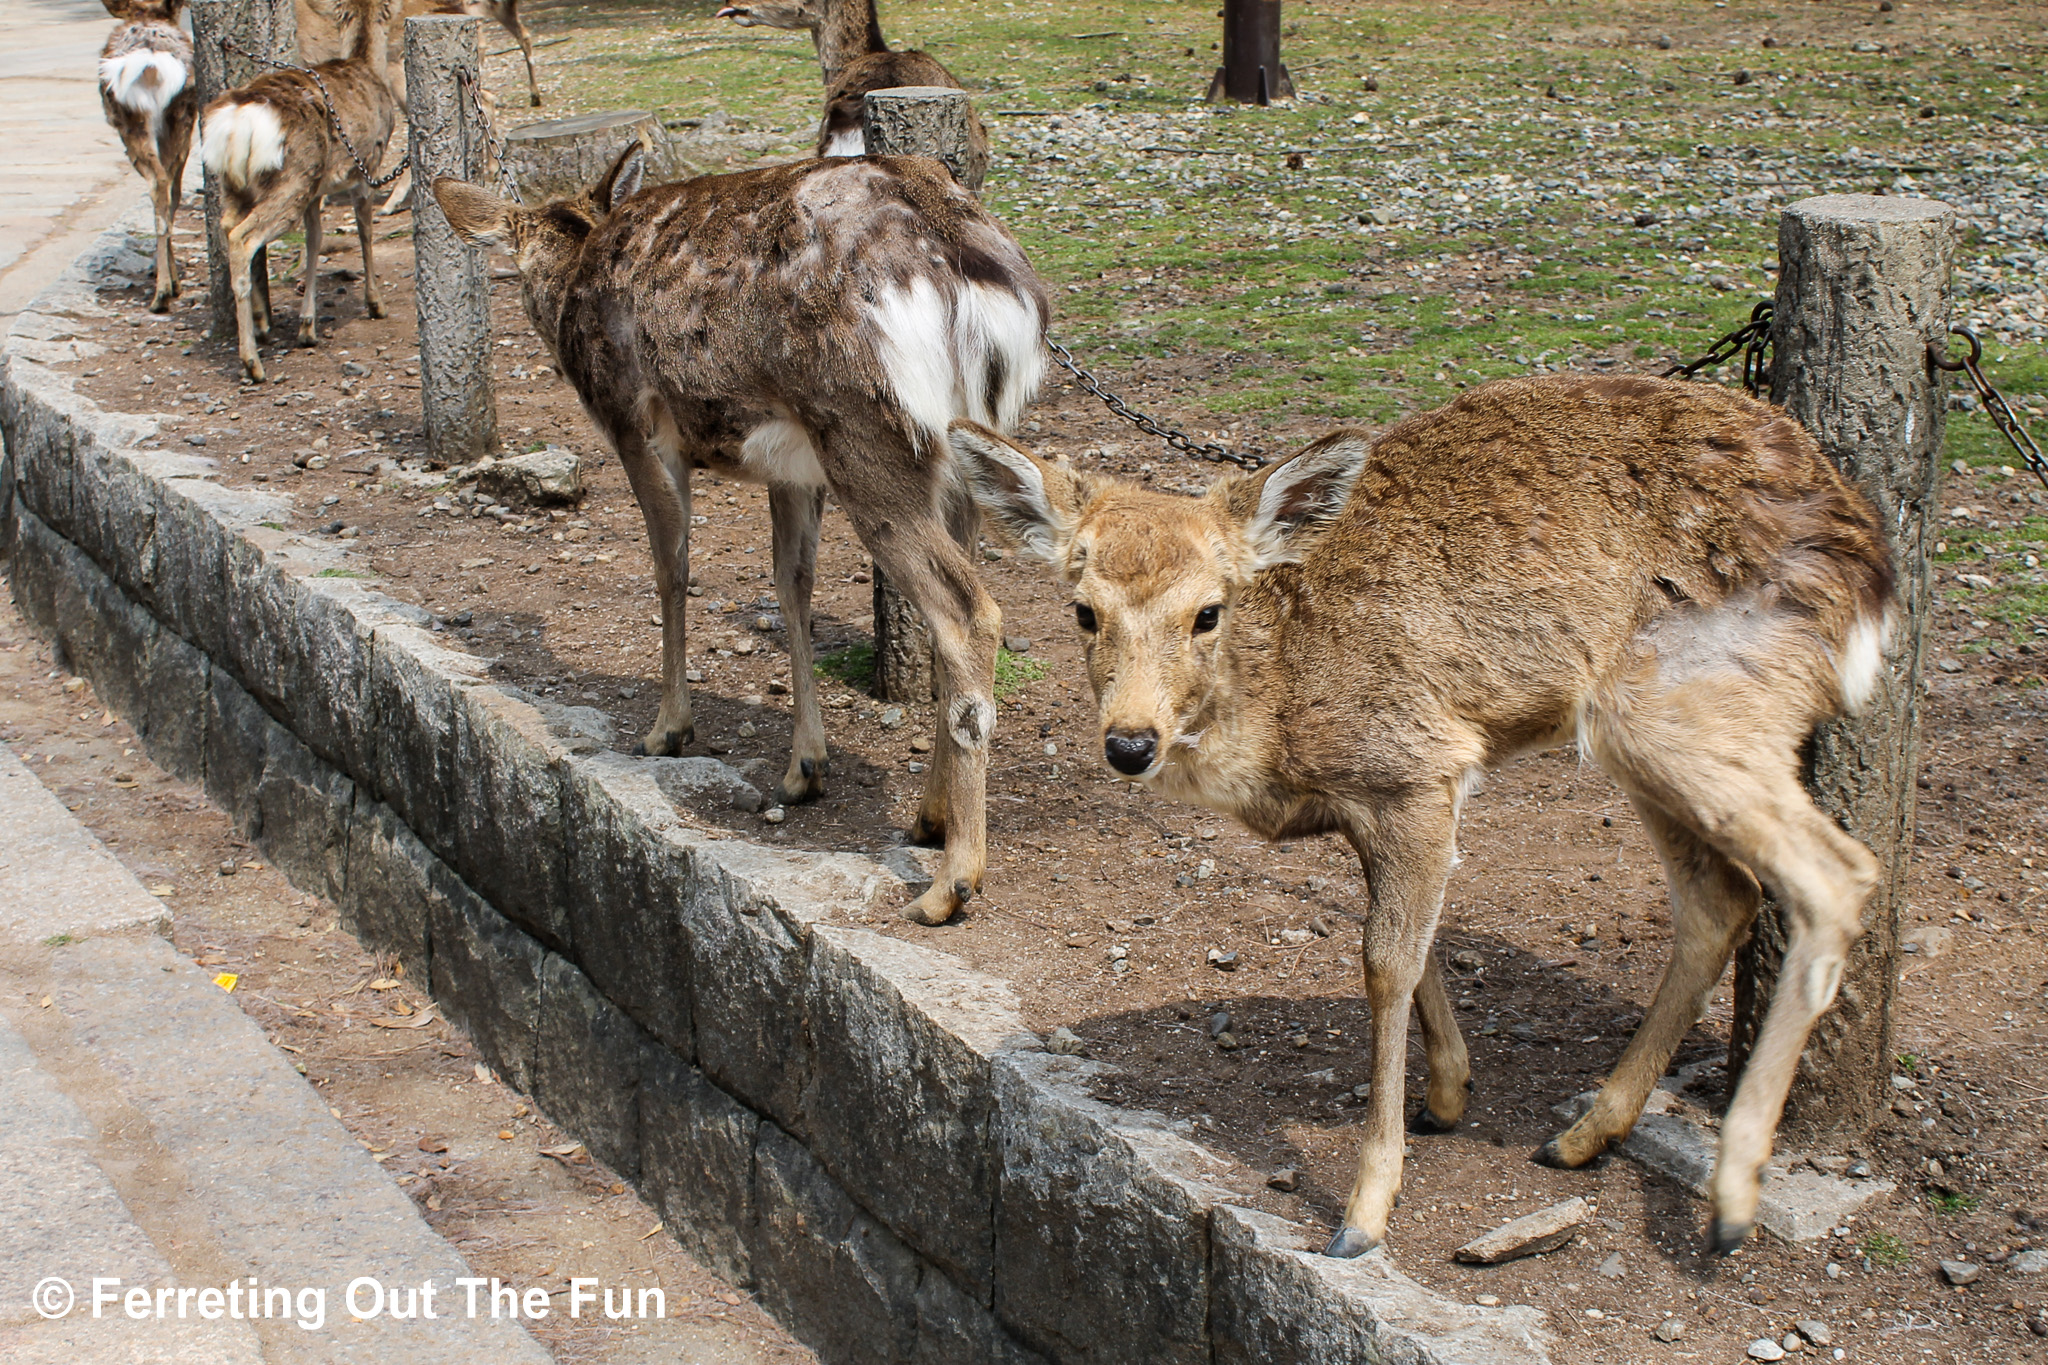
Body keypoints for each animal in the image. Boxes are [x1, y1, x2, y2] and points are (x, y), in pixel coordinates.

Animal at [98, 0, 198, 311]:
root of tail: (150, 63)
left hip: (133, 123)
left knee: (158, 184)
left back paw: (162, 292)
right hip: (179, 117)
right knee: (166, 188)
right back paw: (167, 285)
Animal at [203, 0, 399, 382]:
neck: (367, 64)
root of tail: (237, 120)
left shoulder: (317, 191)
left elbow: (315, 239)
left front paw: (307, 325)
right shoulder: (367, 166)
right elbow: (365, 232)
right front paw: (376, 303)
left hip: (239, 183)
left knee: (228, 227)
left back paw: (261, 321)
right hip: (293, 178)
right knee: (244, 238)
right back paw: (252, 362)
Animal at [428, 144, 1040, 925]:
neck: (574, 264)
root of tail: (968, 265)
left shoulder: (637, 425)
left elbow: (671, 566)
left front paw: (667, 727)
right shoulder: (792, 469)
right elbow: (791, 583)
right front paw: (805, 764)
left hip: (864, 430)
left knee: (968, 612)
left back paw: (951, 881)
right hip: (960, 448)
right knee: (951, 607)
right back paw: (929, 818)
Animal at [950, 376, 1892, 1260]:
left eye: (1207, 611)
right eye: (1084, 609)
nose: (1129, 741)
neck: (1280, 711)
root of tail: (1869, 571)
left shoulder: (1416, 761)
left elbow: (1384, 961)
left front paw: (1365, 1209)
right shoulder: (1379, 800)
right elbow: (1414, 935)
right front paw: (1448, 1092)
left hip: (1694, 705)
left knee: (1837, 874)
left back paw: (1731, 1196)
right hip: (1647, 734)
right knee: (1721, 898)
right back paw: (1584, 1134)